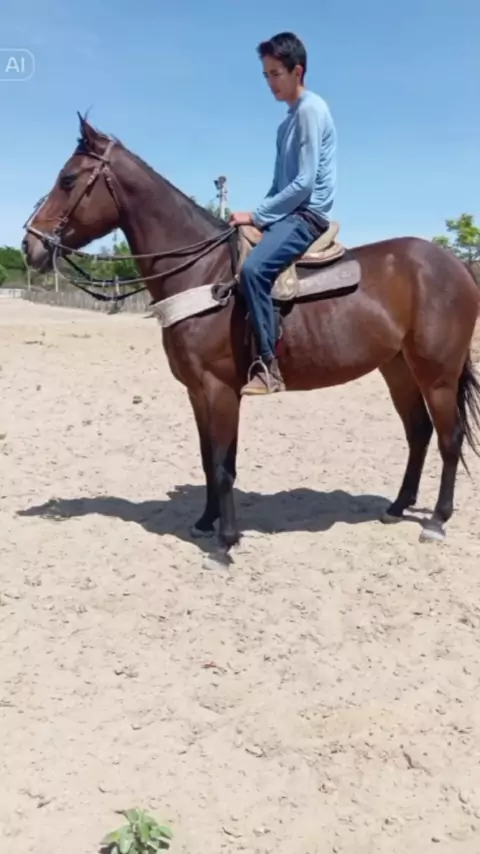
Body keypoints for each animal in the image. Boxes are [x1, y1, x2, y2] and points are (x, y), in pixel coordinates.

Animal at [22, 113, 480, 559]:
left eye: (68, 179)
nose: (30, 245)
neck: (203, 272)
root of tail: (456, 265)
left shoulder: (221, 388)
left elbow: (224, 464)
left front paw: (226, 541)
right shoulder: (197, 391)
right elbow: (208, 459)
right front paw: (206, 522)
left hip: (438, 375)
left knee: (449, 437)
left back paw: (437, 520)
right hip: (398, 369)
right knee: (418, 432)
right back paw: (397, 506)